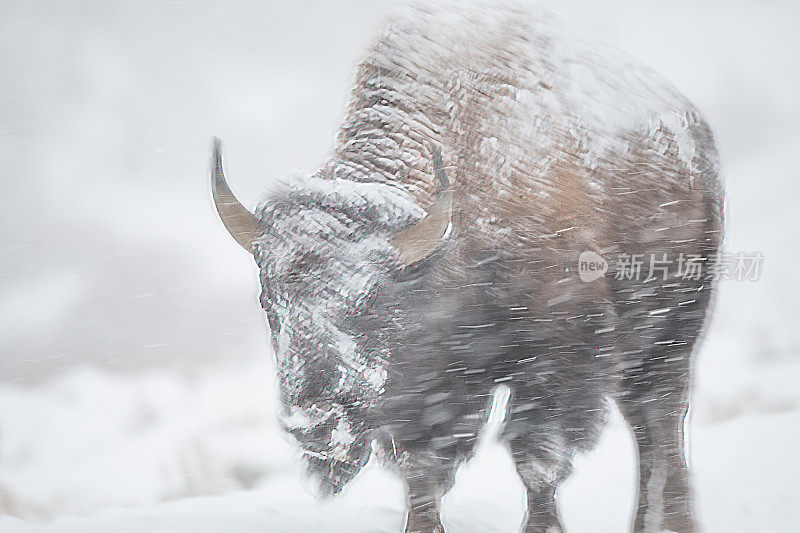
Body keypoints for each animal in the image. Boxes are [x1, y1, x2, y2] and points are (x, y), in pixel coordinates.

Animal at [209, 2, 720, 528]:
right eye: (269, 304)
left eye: (372, 302)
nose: (311, 423)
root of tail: (694, 133)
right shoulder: (431, 395)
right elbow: (422, 474)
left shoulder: (560, 363)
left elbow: (538, 461)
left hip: (671, 334)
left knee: (660, 422)